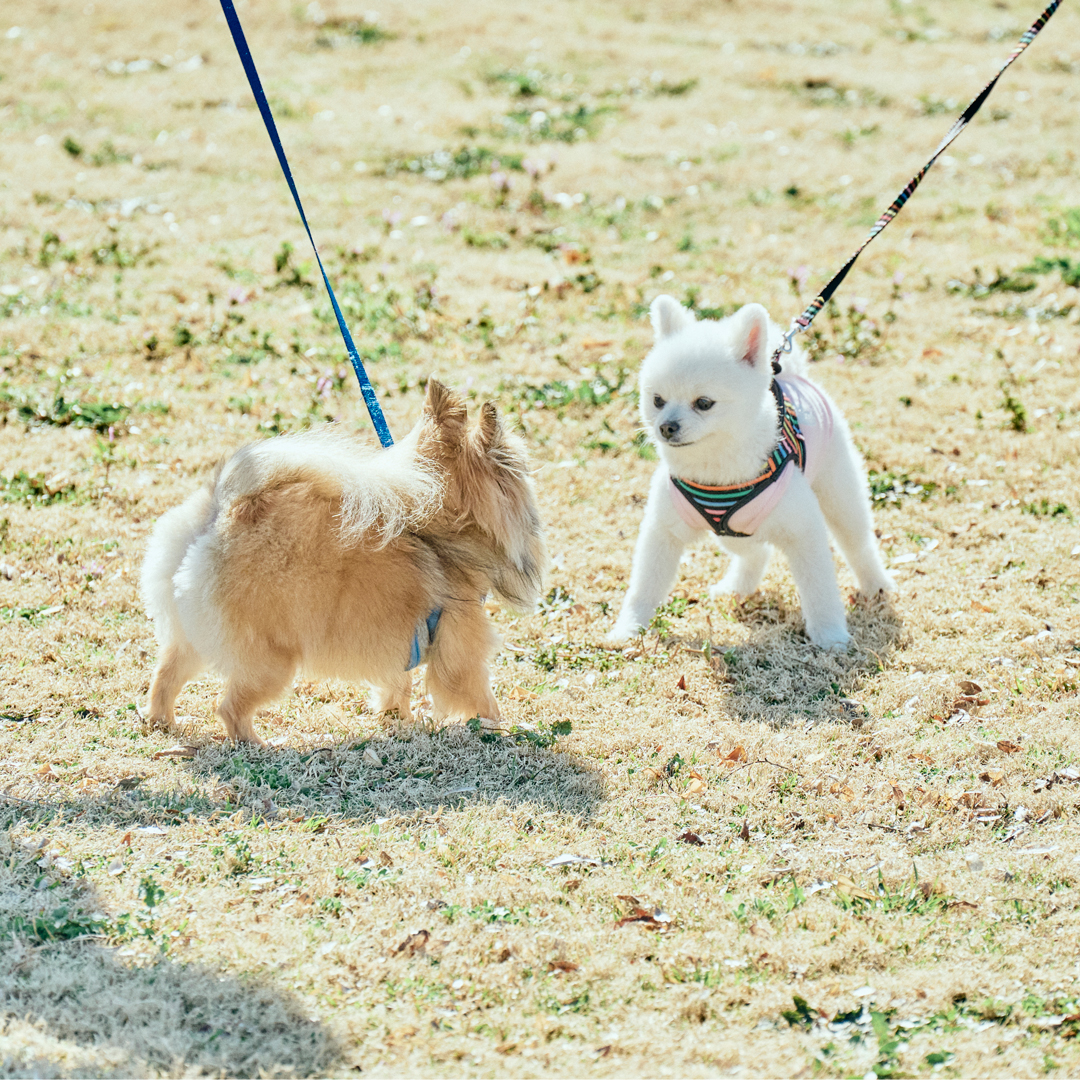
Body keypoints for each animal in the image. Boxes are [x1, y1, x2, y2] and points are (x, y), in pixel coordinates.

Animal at [141, 384, 548, 747]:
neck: (436, 533)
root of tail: (220, 512)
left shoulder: (403, 648)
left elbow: (396, 687)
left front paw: (398, 719)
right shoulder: (462, 650)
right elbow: (482, 698)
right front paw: (502, 729)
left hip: (190, 640)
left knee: (165, 678)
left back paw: (163, 723)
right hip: (271, 663)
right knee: (229, 708)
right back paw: (258, 744)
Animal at [609, 295, 894, 648]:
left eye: (704, 403)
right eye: (658, 400)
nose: (666, 427)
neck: (716, 469)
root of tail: (790, 374)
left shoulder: (804, 530)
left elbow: (820, 589)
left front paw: (830, 636)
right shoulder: (663, 531)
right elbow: (644, 587)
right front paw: (629, 628)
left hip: (839, 496)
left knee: (857, 544)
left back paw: (876, 584)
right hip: (734, 532)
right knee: (755, 553)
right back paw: (736, 587)